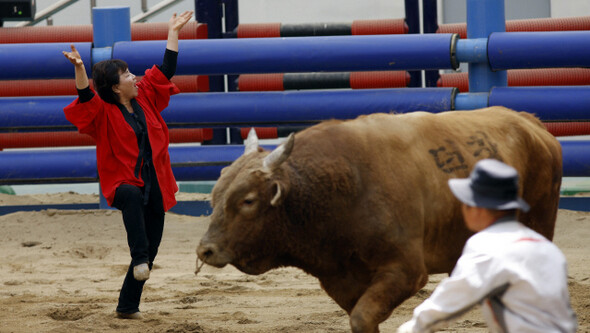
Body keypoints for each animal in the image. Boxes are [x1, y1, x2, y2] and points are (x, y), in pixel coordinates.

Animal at [197, 107, 560, 332]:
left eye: (248, 200)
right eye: (214, 196)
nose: (206, 250)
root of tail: (530, 123)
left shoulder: (406, 271)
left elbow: (362, 317)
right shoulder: (339, 279)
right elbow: (362, 319)